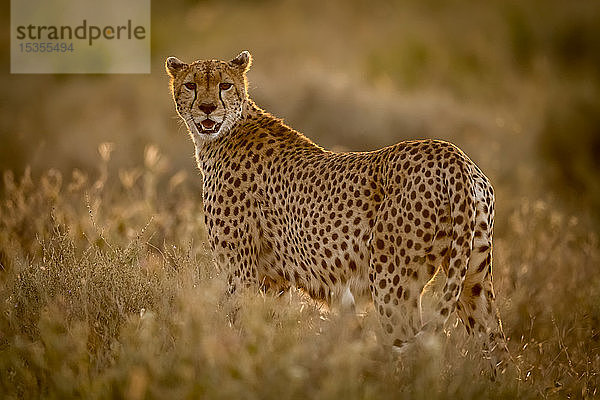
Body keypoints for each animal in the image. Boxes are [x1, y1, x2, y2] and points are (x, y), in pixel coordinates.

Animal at [165, 50, 510, 376]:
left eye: (224, 85)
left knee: (412, 349)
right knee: (498, 350)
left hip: (392, 282)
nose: (207, 108)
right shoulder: (274, 281)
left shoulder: (241, 273)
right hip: (473, 277)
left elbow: (237, 326)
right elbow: (267, 330)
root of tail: (451, 153)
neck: (225, 133)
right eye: (191, 85)